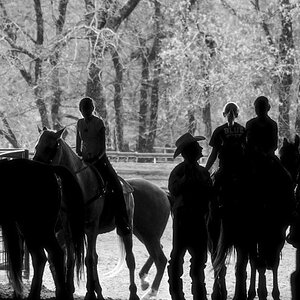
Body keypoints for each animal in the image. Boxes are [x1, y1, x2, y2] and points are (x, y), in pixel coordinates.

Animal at [33, 127, 171, 300]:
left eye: (50, 147)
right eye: (36, 146)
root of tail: (163, 193)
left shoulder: (90, 228)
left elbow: (88, 259)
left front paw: (89, 292)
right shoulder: (69, 230)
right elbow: (71, 259)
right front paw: (73, 290)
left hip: (138, 231)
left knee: (142, 259)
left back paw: (144, 291)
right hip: (142, 233)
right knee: (157, 256)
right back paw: (145, 284)